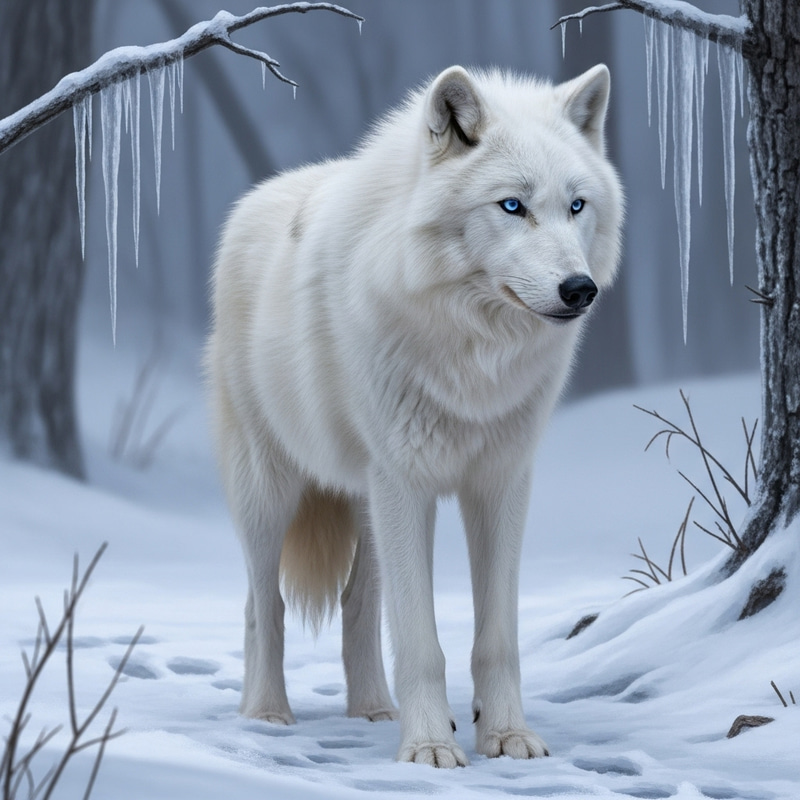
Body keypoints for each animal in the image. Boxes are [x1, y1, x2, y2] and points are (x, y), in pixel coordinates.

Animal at [206, 63, 623, 767]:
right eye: (513, 206)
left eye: (576, 205)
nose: (580, 289)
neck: (473, 352)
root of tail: (258, 197)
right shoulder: (407, 482)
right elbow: (421, 640)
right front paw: (429, 745)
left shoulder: (500, 483)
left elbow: (496, 637)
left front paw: (506, 735)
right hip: (273, 490)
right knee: (263, 607)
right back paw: (266, 714)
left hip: (367, 500)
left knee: (358, 605)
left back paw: (375, 711)